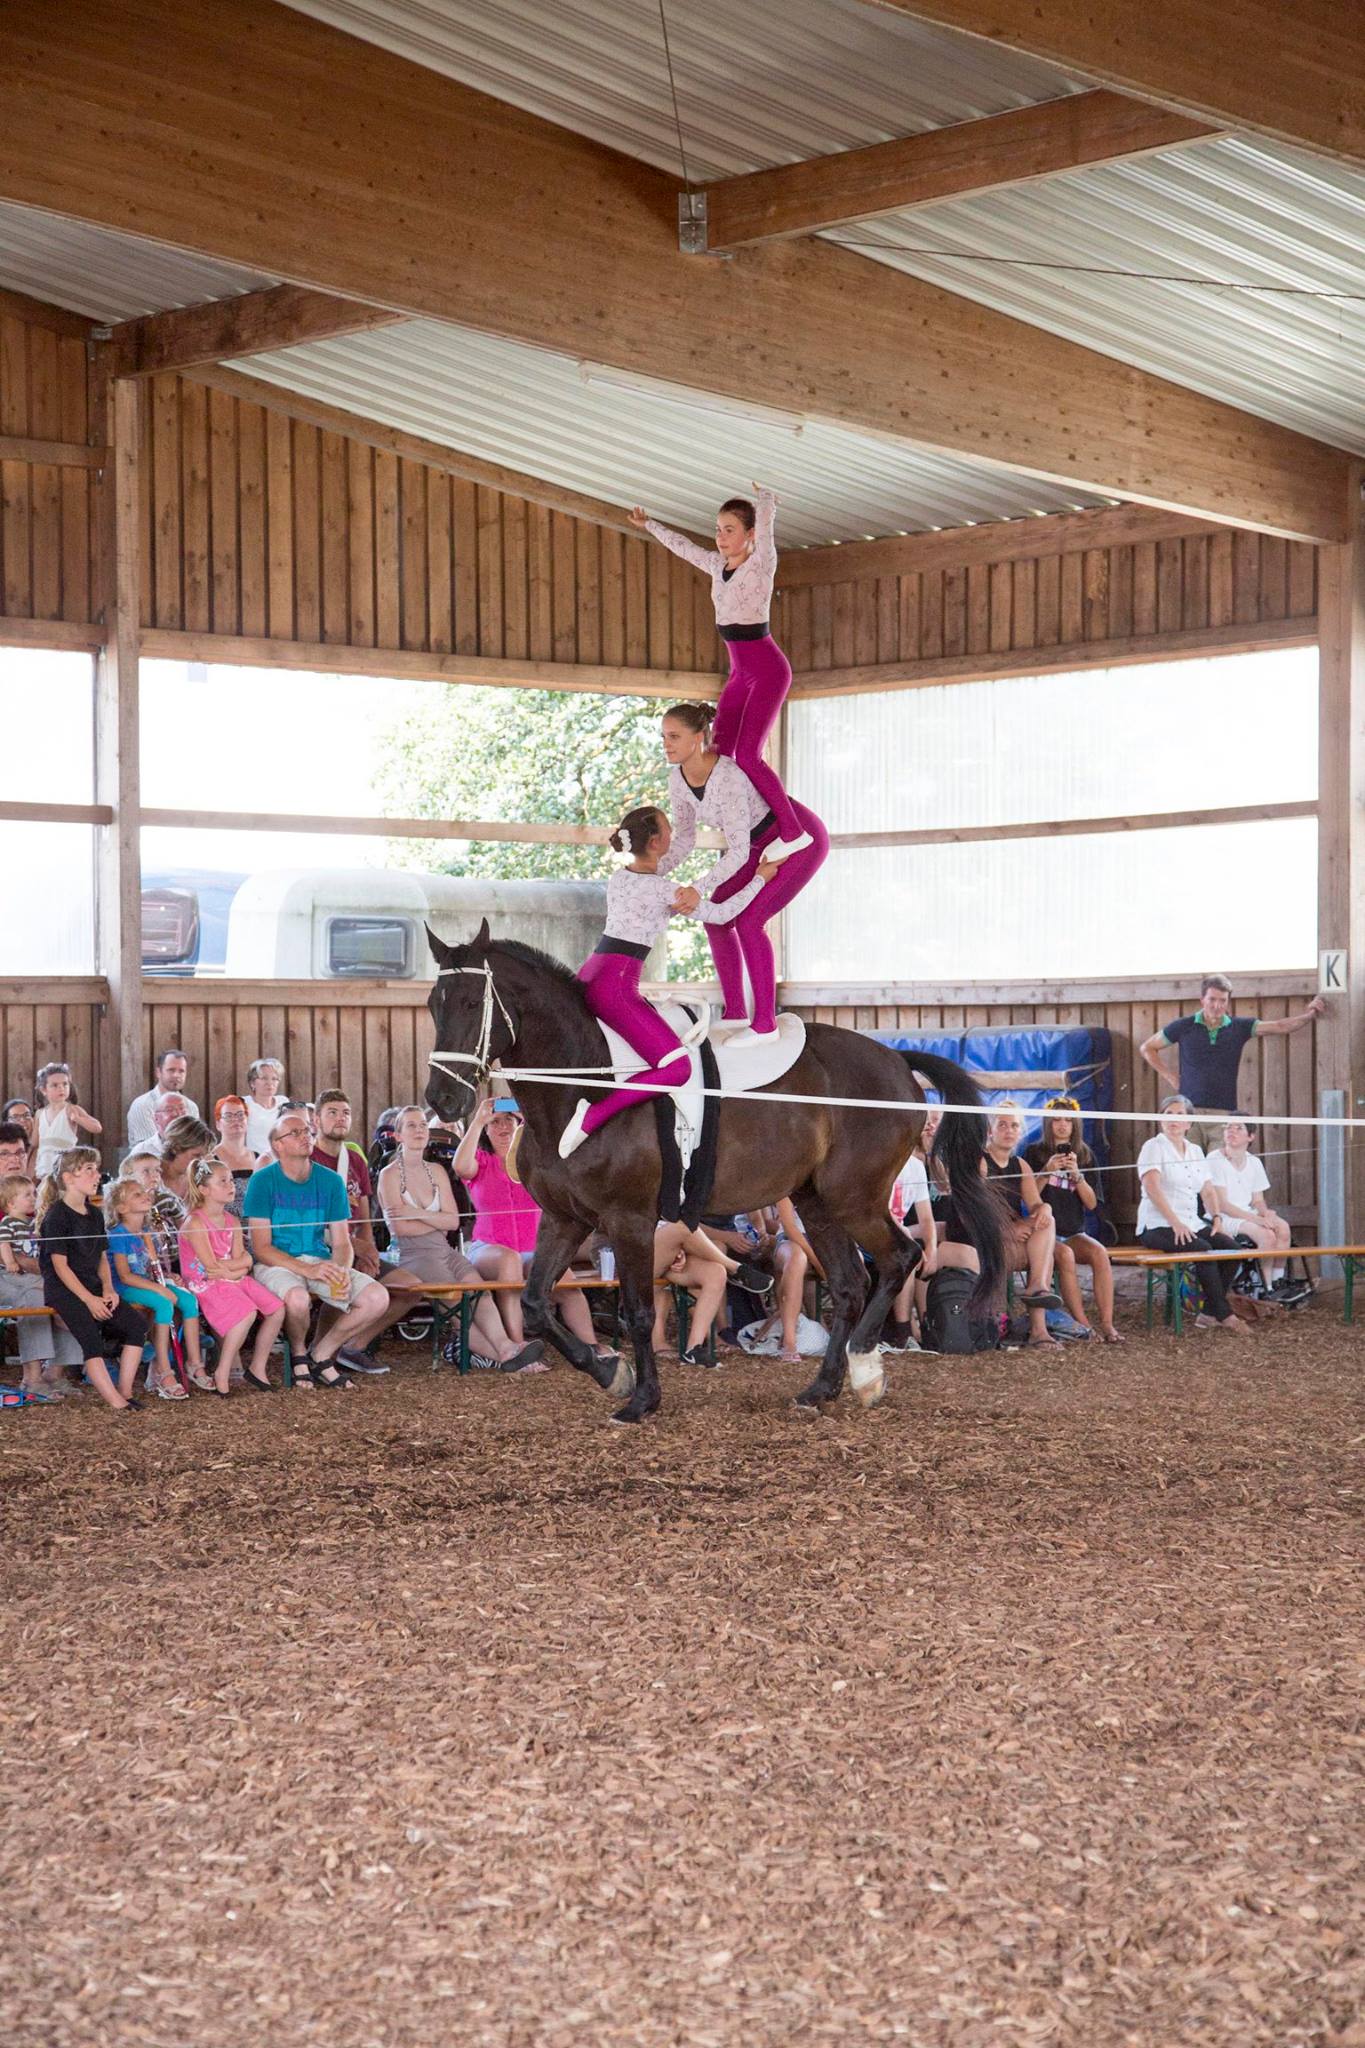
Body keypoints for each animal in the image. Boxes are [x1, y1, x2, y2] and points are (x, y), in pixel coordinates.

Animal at [427, 929, 1002, 1425]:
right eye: (434, 1004)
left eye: (473, 1004)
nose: (442, 1099)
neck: (585, 1088)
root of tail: (896, 1061)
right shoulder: (564, 1219)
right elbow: (534, 1303)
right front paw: (612, 1373)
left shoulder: (629, 1221)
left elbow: (639, 1310)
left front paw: (642, 1399)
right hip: (815, 1203)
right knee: (850, 1284)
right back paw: (820, 1388)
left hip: (853, 1198)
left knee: (902, 1257)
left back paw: (864, 1370)